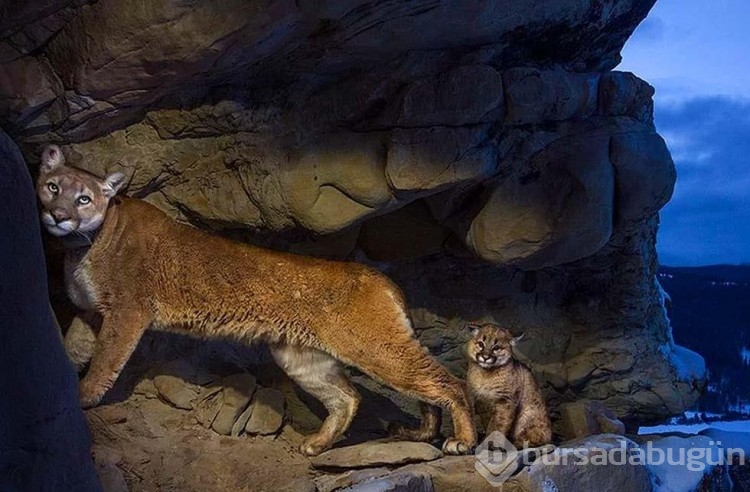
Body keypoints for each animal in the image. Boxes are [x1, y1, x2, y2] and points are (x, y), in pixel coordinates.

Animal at [36, 146, 476, 458]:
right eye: (53, 187)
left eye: (84, 199)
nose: (58, 215)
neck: (83, 245)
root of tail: (382, 278)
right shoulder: (90, 312)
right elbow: (73, 348)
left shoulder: (127, 311)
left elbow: (104, 361)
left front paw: (83, 398)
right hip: (301, 358)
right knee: (349, 397)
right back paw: (325, 443)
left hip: (373, 346)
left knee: (447, 382)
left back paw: (461, 441)